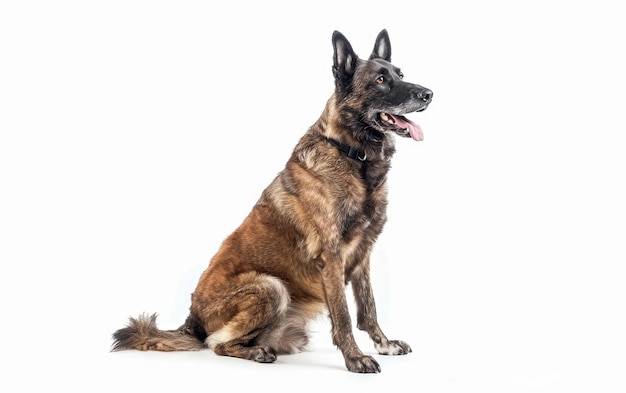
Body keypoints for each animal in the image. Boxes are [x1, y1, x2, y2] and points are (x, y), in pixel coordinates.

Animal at [111, 29, 428, 372]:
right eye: (380, 80)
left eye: (400, 75)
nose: (429, 94)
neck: (351, 153)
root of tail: (191, 320)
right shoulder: (331, 256)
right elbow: (343, 316)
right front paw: (355, 357)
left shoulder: (362, 253)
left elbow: (368, 308)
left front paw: (385, 344)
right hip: (271, 286)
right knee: (217, 344)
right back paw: (257, 352)